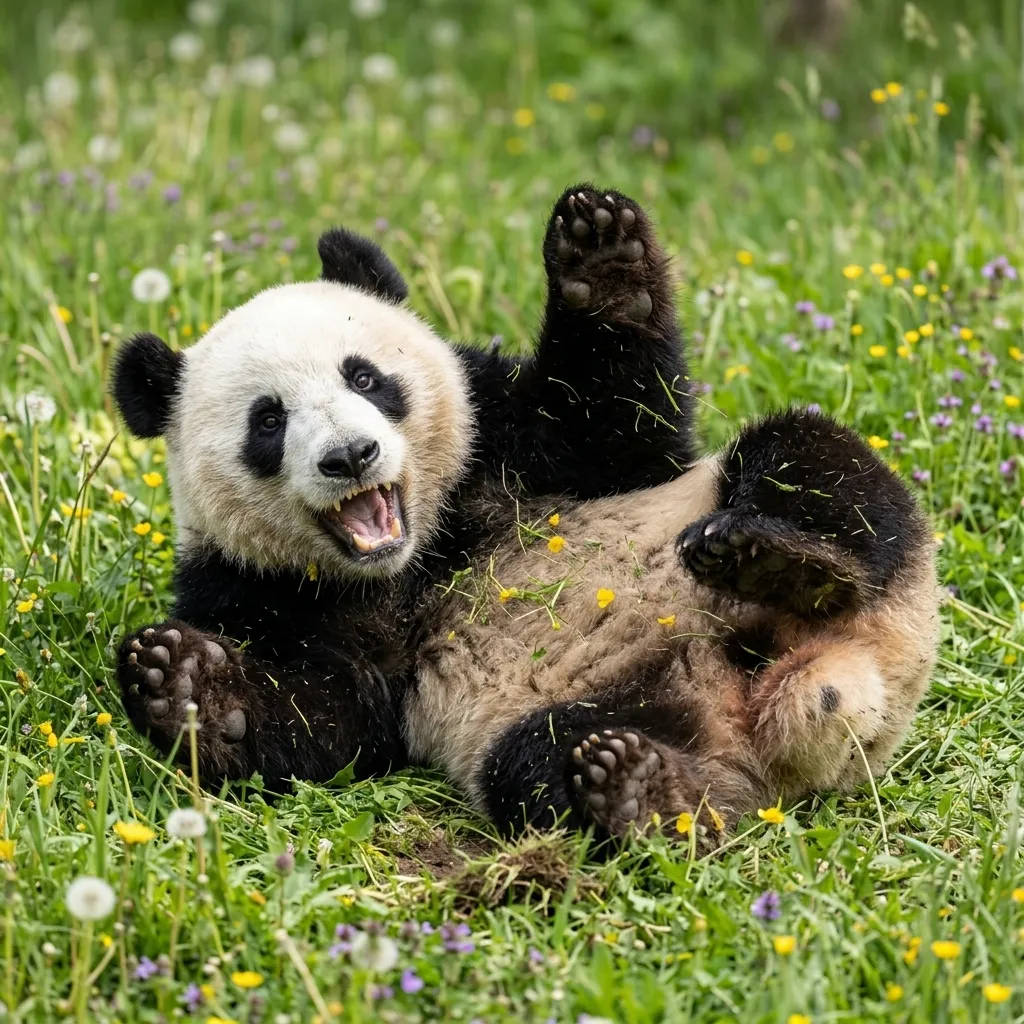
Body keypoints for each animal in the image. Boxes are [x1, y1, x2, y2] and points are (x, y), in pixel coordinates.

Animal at [112, 184, 940, 841]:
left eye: (365, 377)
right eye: (268, 421)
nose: (350, 456)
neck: (417, 556)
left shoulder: (506, 435)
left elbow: (615, 426)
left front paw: (599, 252)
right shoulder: (258, 587)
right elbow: (329, 716)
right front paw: (186, 683)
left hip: (842, 563)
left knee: (814, 466)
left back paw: (788, 563)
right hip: (594, 710)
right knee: (542, 763)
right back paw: (645, 793)